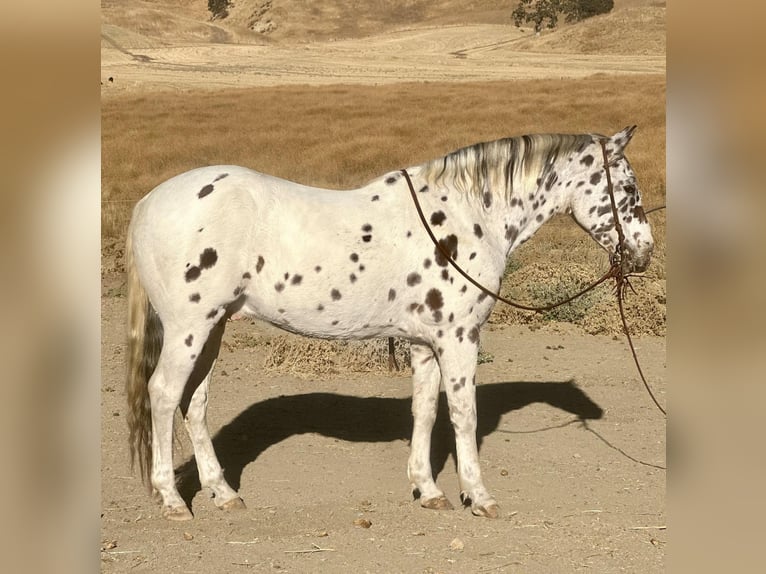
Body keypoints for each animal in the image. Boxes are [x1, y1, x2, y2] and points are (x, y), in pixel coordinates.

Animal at [126, 126, 656, 520]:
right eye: (629, 188)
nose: (645, 251)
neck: (466, 215)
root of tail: (148, 203)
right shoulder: (459, 338)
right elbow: (464, 414)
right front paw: (478, 497)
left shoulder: (425, 342)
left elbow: (424, 411)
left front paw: (428, 491)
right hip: (189, 328)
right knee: (164, 394)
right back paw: (172, 500)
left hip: (213, 328)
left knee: (195, 403)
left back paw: (223, 493)